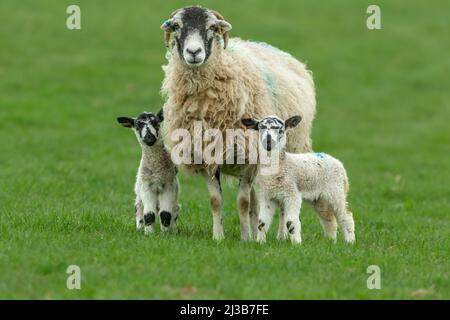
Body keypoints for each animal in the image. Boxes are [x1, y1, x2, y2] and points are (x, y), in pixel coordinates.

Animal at [160, 5, 314, 240]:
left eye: (212, 27)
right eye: (177, 26)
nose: (194, 52)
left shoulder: (249, 161)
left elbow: (242, 203)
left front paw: (245, 238)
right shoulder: (206, 159)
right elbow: (217, 202)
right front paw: (219, 237)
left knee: (278, 202)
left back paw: (279, 235)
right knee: (256, 202)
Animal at [243, 116, 356, 244]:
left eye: (281, 130)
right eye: (260, 127)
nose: (268, 142)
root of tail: (337, 162)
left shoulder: (292, 193)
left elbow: (291, 221)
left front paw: (296, 243)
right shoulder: (267, 196)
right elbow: (262, 222)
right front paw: (260, 242)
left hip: (336, 191)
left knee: (346, 216)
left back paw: (350, 242)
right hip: (319, 198)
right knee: (329, 219)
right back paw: (331, 241)